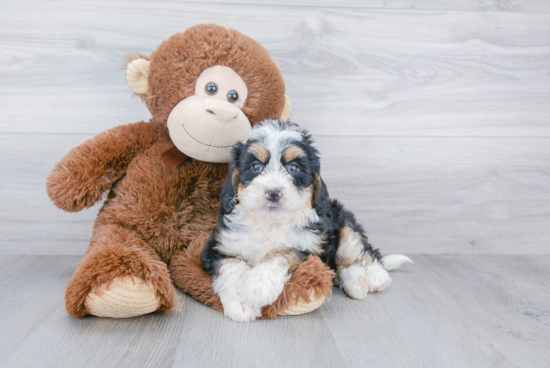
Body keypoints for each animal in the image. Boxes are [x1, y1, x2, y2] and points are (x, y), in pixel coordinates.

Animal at [201, 120, 412, 322]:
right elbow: (231, 265)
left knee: (359, 252)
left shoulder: (312, 251)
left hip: (343, 221)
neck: (271, 222)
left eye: (293, 168)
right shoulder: (218, 247)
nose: (273, 193)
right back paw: (356, 282)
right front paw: (241, 303)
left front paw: (258, 285)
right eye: (256, 167)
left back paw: (374, 277)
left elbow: (284, 251)